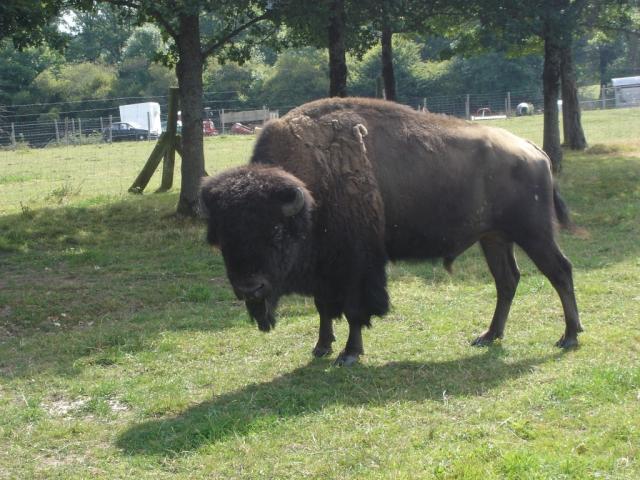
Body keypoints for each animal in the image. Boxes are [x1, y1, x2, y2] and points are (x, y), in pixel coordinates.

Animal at [201, 99, 584, 366]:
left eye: (276, 232)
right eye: (224, 240)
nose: (249, 288)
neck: (311, 193)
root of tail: (534, 150)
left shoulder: (356, 267)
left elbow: (355, 311)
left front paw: (349, 354)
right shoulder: (324, 270)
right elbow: (324, 309)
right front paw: (321, 347)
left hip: (534, 233)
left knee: (560, 271)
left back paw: (569, 337)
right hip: (493, 238)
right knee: (507, 281)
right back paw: (488, 336)